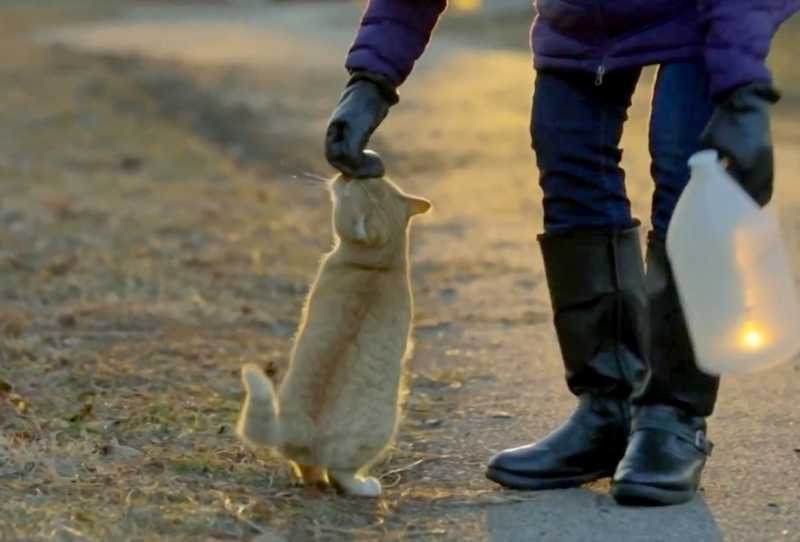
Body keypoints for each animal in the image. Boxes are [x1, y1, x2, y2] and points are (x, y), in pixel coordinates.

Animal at [236, 176, 432, 500]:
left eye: (354, 185)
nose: (344, 176)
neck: (378, 264)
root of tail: (296, 429)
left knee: (324, 471)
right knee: (325, 471)